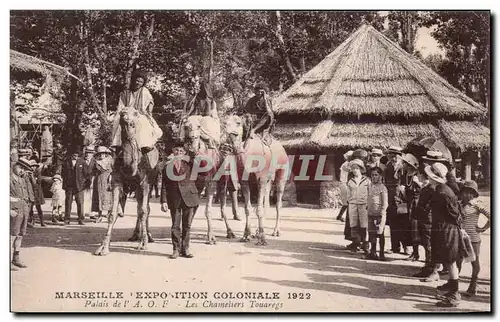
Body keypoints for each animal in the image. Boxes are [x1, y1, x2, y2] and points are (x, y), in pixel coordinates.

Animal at [93, 108, 157, 256]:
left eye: (136, 115)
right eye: (121, 114)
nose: (126, 119)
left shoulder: (145, 181)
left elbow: (144, 211)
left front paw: (144, 244)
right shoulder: (117, 180)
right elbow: (112, 213)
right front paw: (103, 247)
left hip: (151, 181)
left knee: (145, 208)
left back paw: (148, 237)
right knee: (139, 206)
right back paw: (135, 235)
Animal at [183, 115, 239, 244]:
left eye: (199, 126)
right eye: (186, 127)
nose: (192, 138)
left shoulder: (210, 181)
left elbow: (208, 209)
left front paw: (211, 237)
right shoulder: (196, 183)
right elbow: (194, 207)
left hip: (223, 181)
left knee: (223, 205)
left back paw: (230, 232)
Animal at [223, 114, 290, 245]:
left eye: (238, 123)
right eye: (225, 122)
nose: (229, 133)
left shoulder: (261, 180)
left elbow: (259, 209)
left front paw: (262, 239)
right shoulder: (245, 182)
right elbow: (247, 208)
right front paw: (246, 235)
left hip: (281, 174)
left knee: (278, 203)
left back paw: (276, 231)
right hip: (268, 181)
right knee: (267, 202)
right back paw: (257, 232)